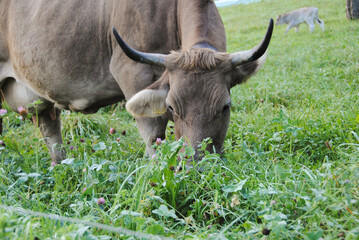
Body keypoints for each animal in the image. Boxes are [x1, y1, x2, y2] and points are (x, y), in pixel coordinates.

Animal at [0, 0, 274, 163]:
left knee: (50, 130)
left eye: (226, 107)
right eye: (172, 107)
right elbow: (153, 134)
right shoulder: (132, 72)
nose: (195, 167)